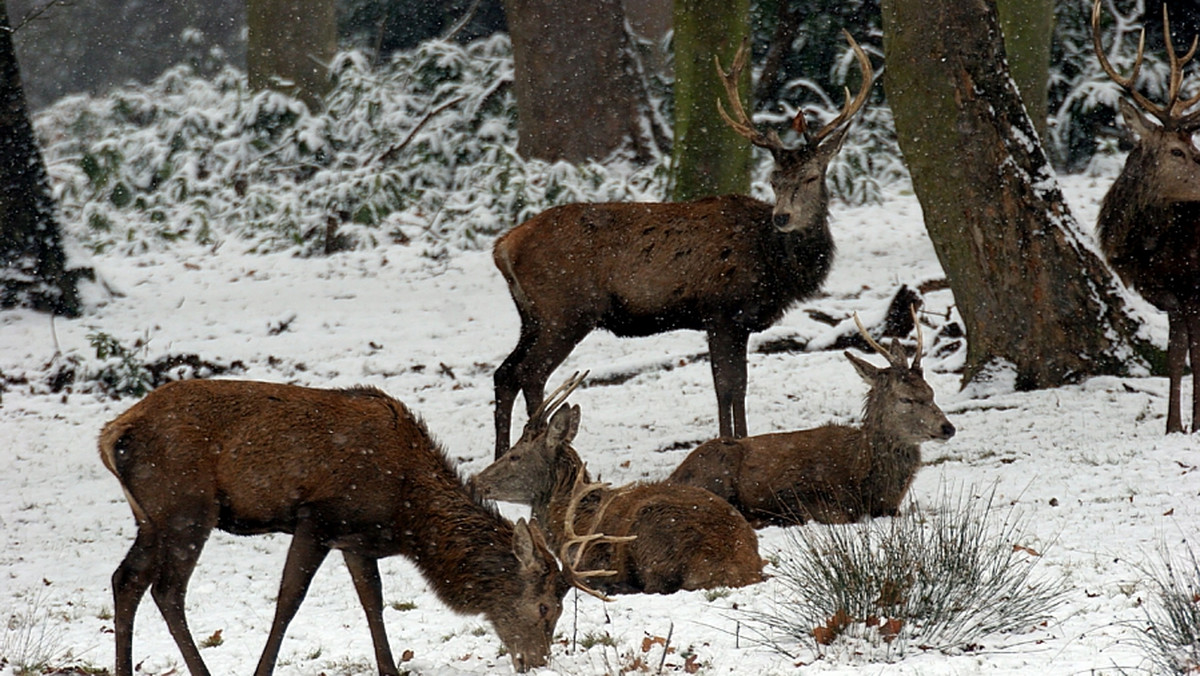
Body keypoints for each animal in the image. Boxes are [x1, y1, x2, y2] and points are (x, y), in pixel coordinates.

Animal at [99, 381, 609, 676]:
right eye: (545, 607)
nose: (536, 662)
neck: (407, 513)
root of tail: (112, 435)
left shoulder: (356, 539)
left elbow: (373, 602)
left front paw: (391, 669)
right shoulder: (318, 518)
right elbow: (289, 601)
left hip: (151, 518)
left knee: (126, 579)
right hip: (186, 509)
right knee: (167, 589)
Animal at [468, 372, 758, 595]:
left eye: (514, 455)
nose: (475, 480)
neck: (571, 519)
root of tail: (738, 568)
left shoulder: (590, 558)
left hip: (652, 528)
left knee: (655, 586)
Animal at [487, 31, 873, 458]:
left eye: (809, 177)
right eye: (773, 180)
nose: (782, 218)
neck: (773, 264)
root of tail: (503, 246)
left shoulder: (737, 321)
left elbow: (740, 385)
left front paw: (742, 440)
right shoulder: (720, 309)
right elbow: (726, 386)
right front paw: (728, 443)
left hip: (531, 315)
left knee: (505, 373)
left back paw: (503, 454)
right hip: (565, 310)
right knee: (530, 373)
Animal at [667, 312, 955, 528]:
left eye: (931, 392)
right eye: (906, 399)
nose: (948, 428)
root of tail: (673, 477)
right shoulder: (796, 492)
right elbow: (835, 515)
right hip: (716, 470)